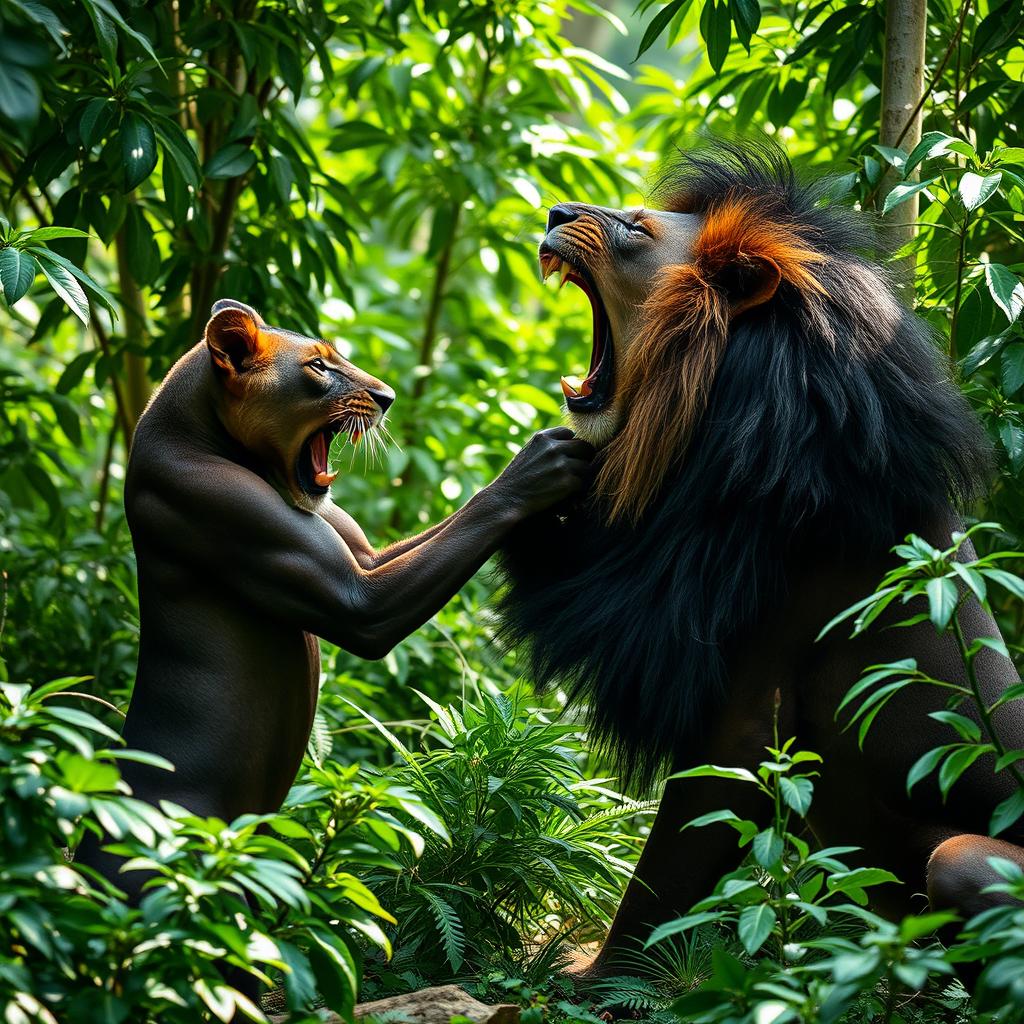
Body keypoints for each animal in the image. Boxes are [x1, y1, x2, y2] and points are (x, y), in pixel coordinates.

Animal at [496, 141, 1024, 974]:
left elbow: (670, 865)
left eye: (635, 228)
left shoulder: (749, 696)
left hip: (963, 858)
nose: (554, 211)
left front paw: (599, 980)